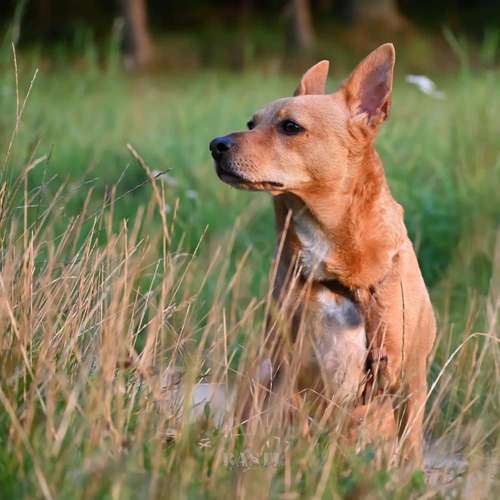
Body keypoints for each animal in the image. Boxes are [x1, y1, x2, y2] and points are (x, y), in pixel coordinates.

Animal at [209, 45, 436, 462]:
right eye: (251, 122)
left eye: (290, 127)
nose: (216, 144)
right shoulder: (288, 370)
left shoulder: (409, 378)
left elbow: (410, 450)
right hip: (262, 377)